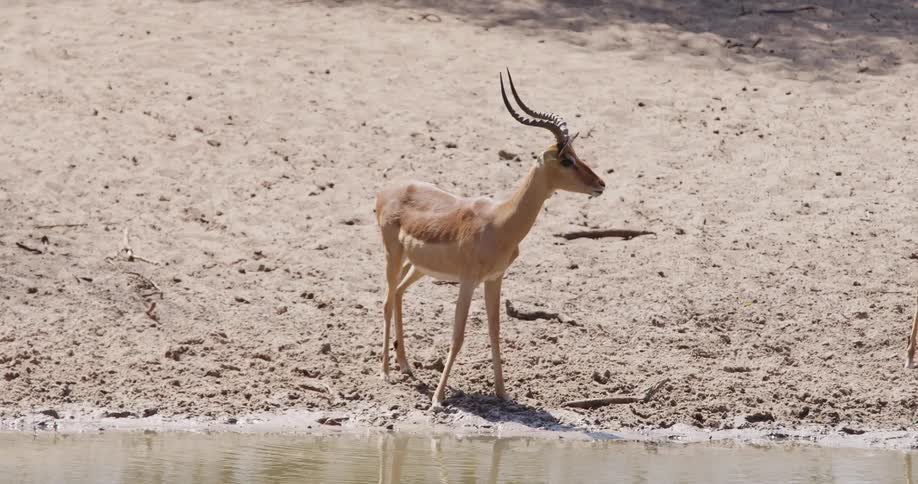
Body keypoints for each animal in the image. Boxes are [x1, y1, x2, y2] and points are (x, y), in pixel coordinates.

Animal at [375, 70, 606, 407]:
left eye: (577, 155)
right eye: (566, 160)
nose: (600, 184)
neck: (500, 222)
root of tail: (386, 191)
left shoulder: (495, 279)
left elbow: (495, 331)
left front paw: (502, 392)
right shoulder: (469, 281)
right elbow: (458, 335)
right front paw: (438, 399)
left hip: (416, 266)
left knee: (399, 294)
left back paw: (405, 365)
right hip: (393, 256)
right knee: (387, 300)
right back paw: (386, 373)